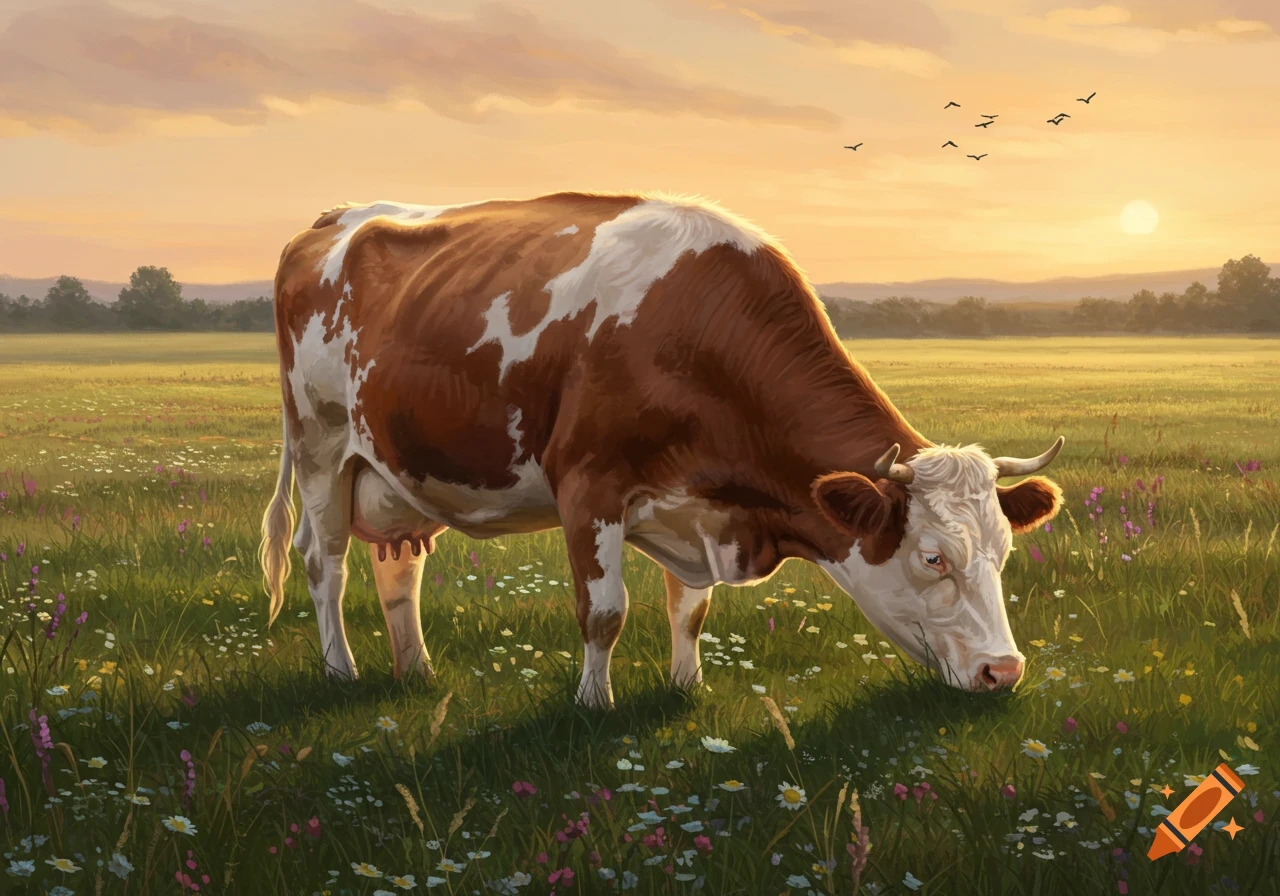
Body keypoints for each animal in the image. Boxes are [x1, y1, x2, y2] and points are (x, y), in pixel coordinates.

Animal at [259, 191, 1064, 709]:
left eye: (1004, 551)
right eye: (933, 557)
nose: (1003, 673)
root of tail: (333, 219)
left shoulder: (698, 505)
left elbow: (690, 611)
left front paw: (687, 686)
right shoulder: (589, 486)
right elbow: (604, 610)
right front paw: (594, 705)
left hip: (393, 469)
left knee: (398, 571)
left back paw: (418, 674)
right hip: (323, 447)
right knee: (324, 563)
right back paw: (342, 672)